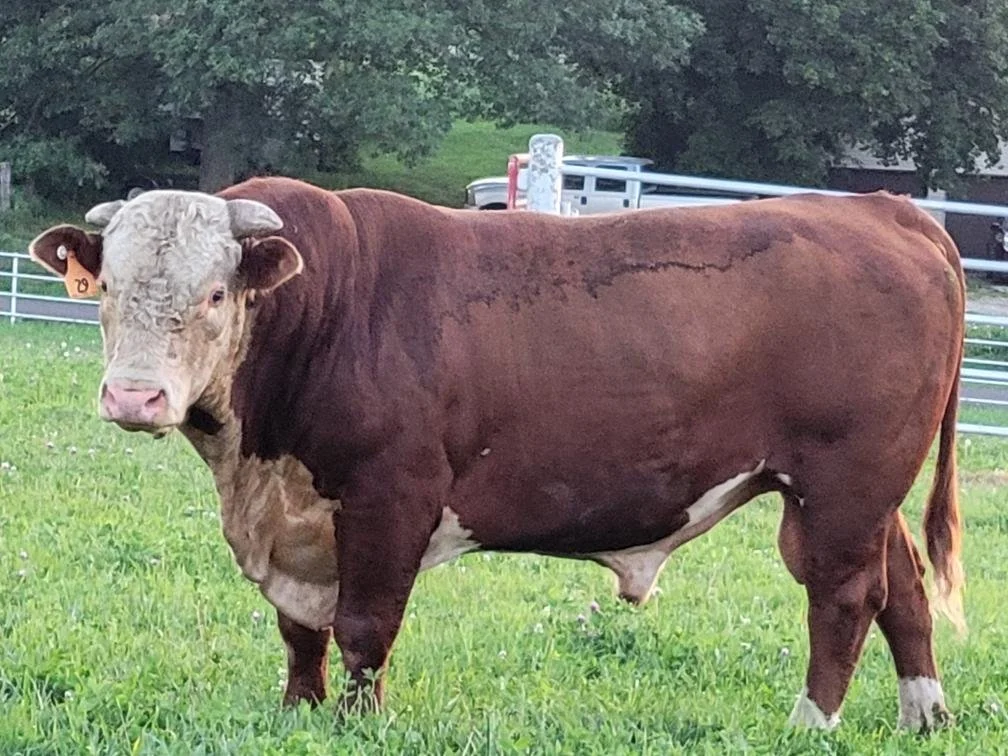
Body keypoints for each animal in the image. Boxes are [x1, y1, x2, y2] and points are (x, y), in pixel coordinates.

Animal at [30, 177, 965, 731]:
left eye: (217, 293)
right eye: (105, 287)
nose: (134, 398)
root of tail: (876, 205)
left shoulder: (392, 495)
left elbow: (364, 626)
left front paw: (356, 725)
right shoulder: (300, 519)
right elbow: (301, 630)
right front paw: (298, 714)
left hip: (840, 486)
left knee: (843, 597)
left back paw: (813, 724)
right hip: (866, 493)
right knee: (904, 588)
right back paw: (924, 715)